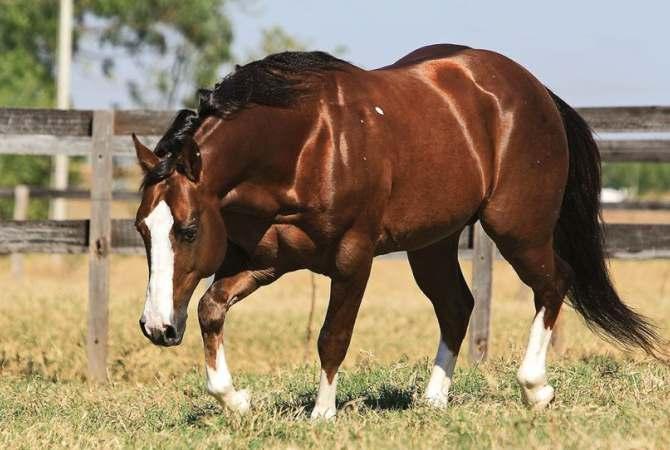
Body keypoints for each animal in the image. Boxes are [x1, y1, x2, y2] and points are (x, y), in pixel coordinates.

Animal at [134, 44, 664, 416]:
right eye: (142, 230)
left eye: (188, 230)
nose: (157, 328)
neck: (306, 144)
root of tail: (537, 91)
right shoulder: (269, 262)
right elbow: (210, 309)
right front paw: (237, 401)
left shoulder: (353, 257)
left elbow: (332, 336)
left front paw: (322, 416)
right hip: (433, 243)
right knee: (457, 305)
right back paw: (434, 400)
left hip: (518, 228)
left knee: (554, 283)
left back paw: (535, 389)